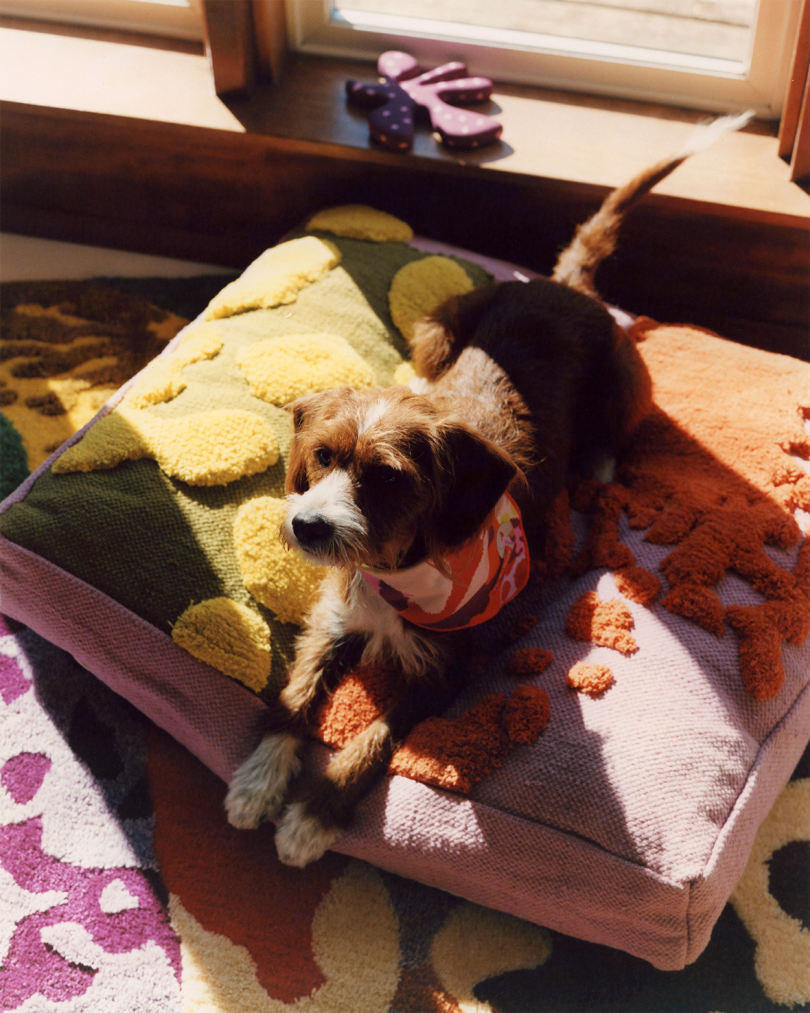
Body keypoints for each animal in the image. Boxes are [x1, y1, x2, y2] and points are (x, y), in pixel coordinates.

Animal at [225, 112, 753, 871]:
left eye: (388, 479)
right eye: (321, 457)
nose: (308, 527)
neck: (402, 571)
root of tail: (562, 285)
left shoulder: (447, 669)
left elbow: (375, 737)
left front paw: (314, 815)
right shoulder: (334, 620)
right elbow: (297, 698)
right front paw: (260, 781)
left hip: (626, 382)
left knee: (618, 432)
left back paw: (595, 469)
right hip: (439, 323)